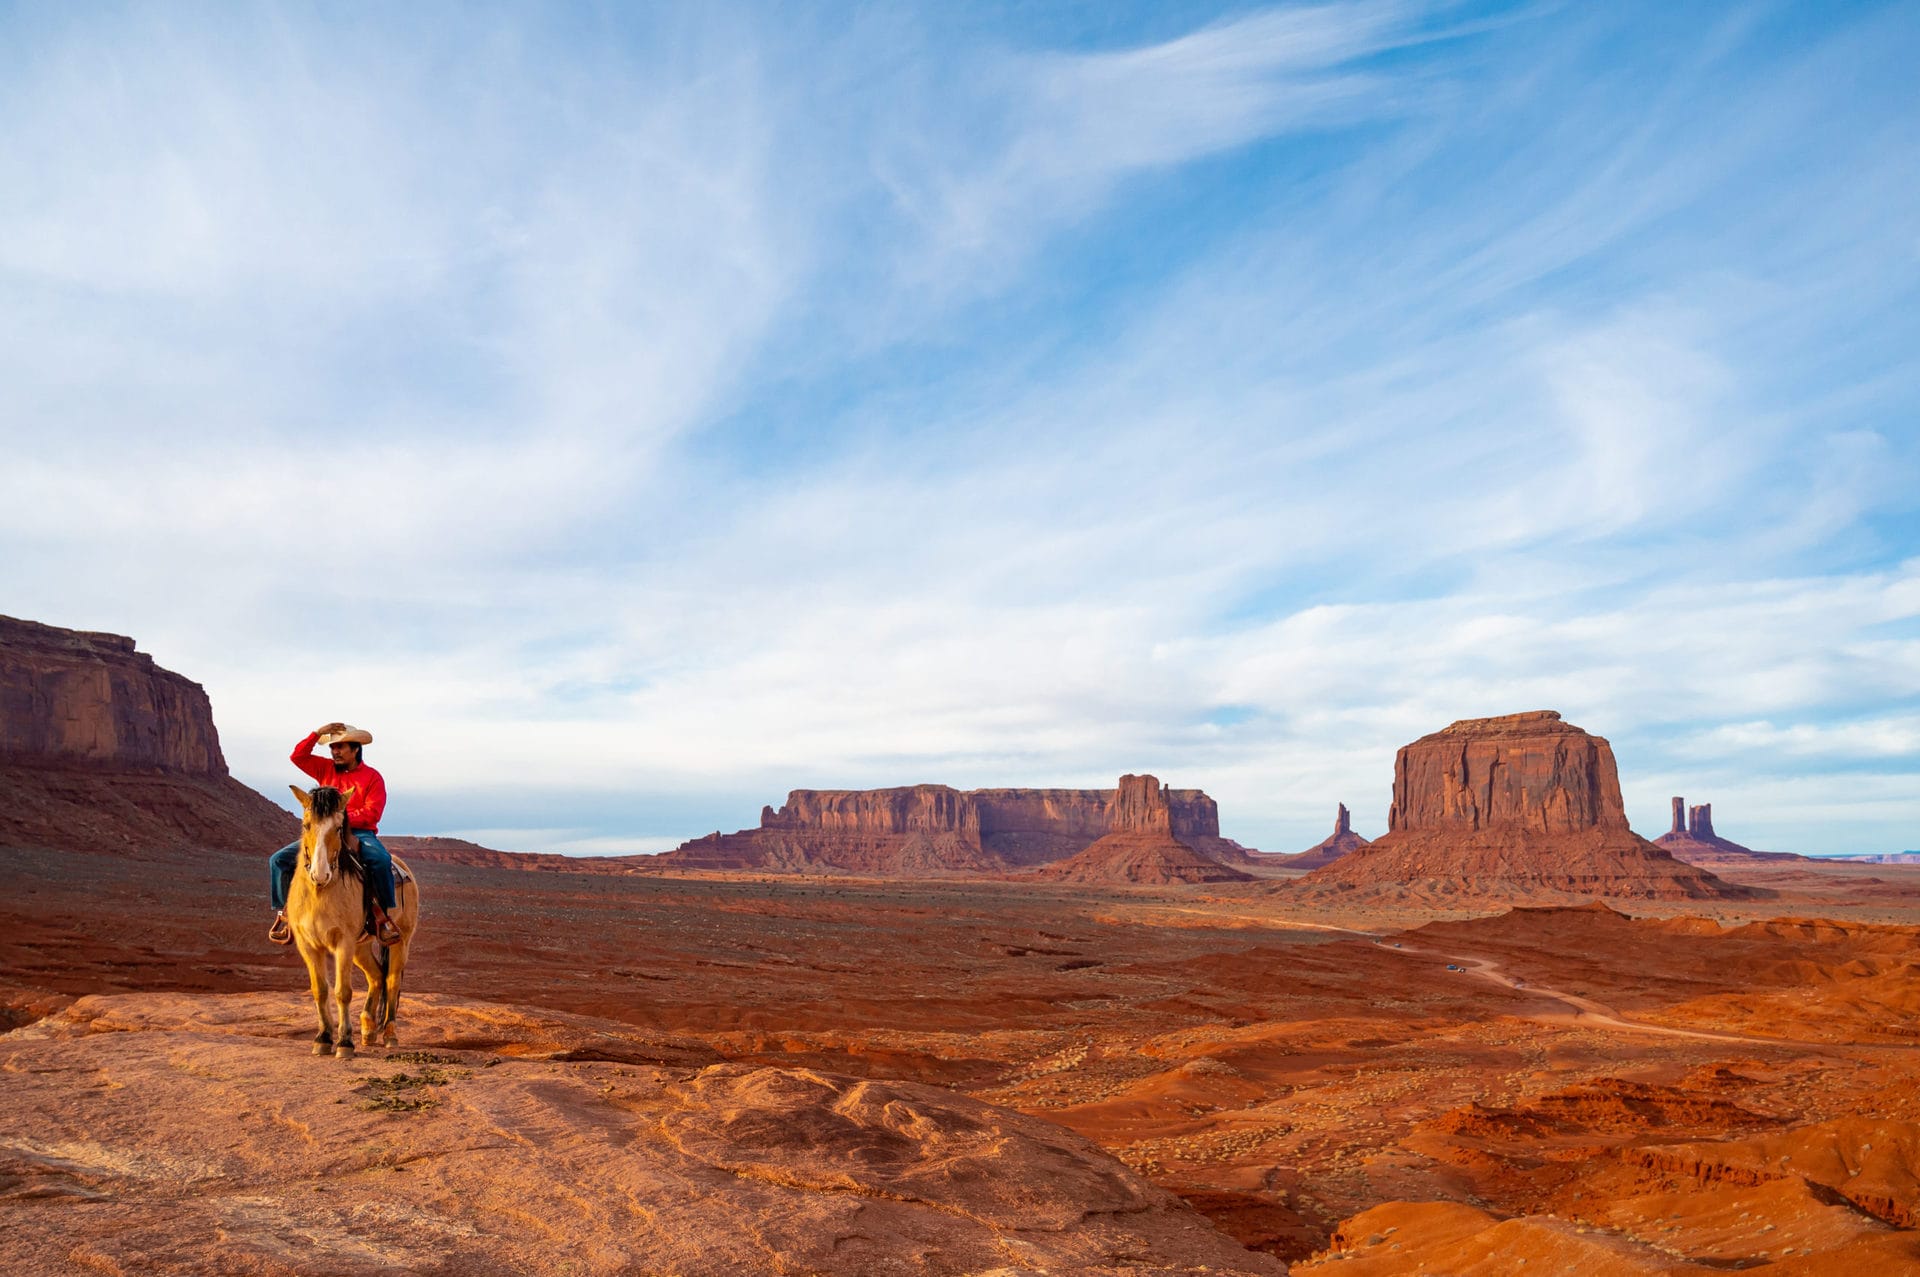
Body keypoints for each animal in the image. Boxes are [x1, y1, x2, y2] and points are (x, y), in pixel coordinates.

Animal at [284, 783, 420, 1060]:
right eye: (306, 825)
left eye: (338, 828)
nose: (320, 874)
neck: (320, 893)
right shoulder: (308, 945)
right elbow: (320, 990)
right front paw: (322, 1039)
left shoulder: (343, 942)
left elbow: (342, 992)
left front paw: (345, 1043)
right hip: (362, 946)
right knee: (376, 975)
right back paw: (368, 1030)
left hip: (400, 941)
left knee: (392, 980)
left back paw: (389, 1035)